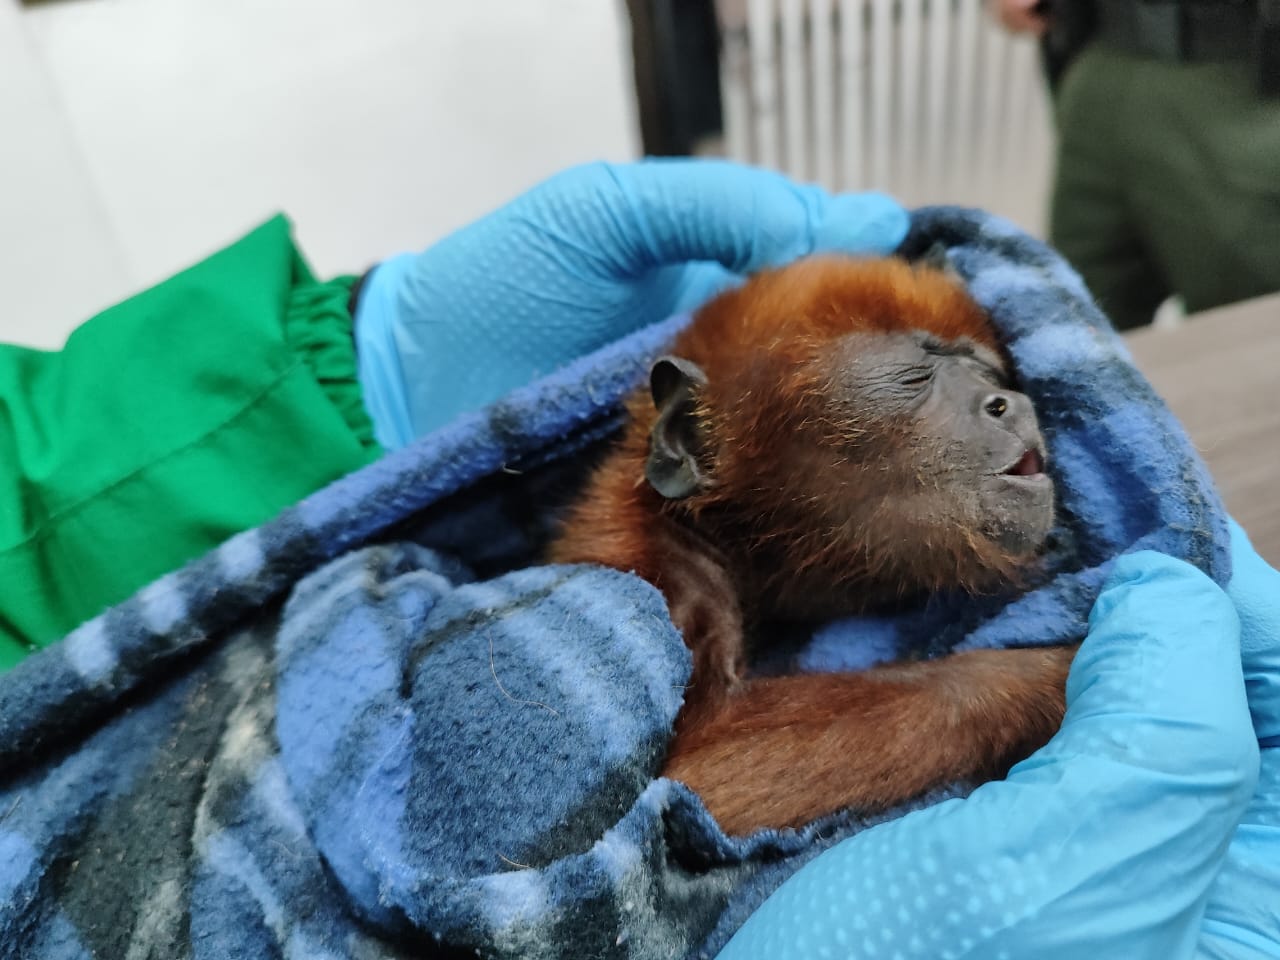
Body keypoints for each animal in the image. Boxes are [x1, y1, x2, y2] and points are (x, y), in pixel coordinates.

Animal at [548, 255, 1075, 835]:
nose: (1011, 403)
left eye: (987, 375)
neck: (712, 532)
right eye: (916, 376)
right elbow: (689, 774)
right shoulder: (670, 587)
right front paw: (1065, 671)